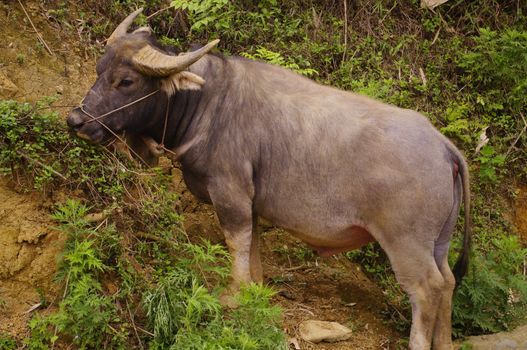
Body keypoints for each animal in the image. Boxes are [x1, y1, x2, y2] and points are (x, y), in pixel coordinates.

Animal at [67, 8, 470, 350]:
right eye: (99, 69)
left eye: (126, 81)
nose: (76, 120)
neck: (206, 104)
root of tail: (443, 146)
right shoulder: (251, 203)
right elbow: (254, 247)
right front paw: (254, 292)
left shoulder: (229, 193)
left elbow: (236, 243)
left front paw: (233, 295)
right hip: (439, 242)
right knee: (449, 282)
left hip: (406, 244)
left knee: (428, 288)